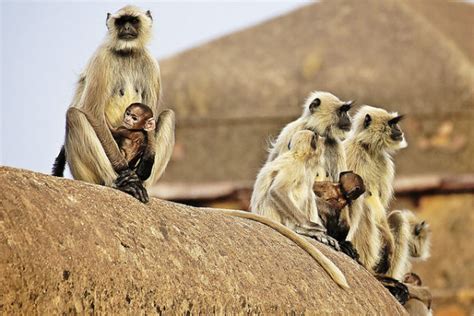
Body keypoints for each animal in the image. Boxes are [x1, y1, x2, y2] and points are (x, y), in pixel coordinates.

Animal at [51, 6, 176, 204]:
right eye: (121, 21)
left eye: (133, 21)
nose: (126, 28)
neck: (128, 54)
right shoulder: (101, 58)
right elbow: (92, 112)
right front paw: (125, 173)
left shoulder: (151, 65)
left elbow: (151, 119)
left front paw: (142, 169)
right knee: (74, 115)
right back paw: (118, 182)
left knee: (168, 115)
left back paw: (141, 181)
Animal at [344, 105, 408, 272]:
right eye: (392, 123)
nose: (399, 130)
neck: (368, 149)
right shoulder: (354, 153)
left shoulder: (384, 162)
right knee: (364, 206)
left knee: (397, 217)